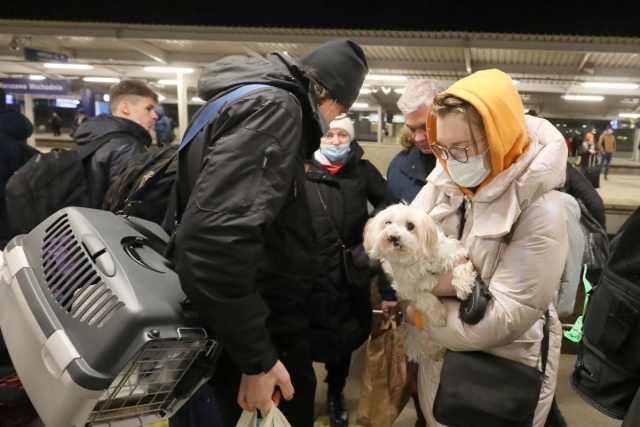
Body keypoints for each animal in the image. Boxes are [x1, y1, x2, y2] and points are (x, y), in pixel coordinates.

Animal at [362, 204, 478, 362]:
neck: (415, 261)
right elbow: (424, 297)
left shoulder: (454, 254)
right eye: (387, 223)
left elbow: (461, 266)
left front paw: (464, 285)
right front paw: (438, 314)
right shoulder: (405, 288)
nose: (393, 237)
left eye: (410, 226)